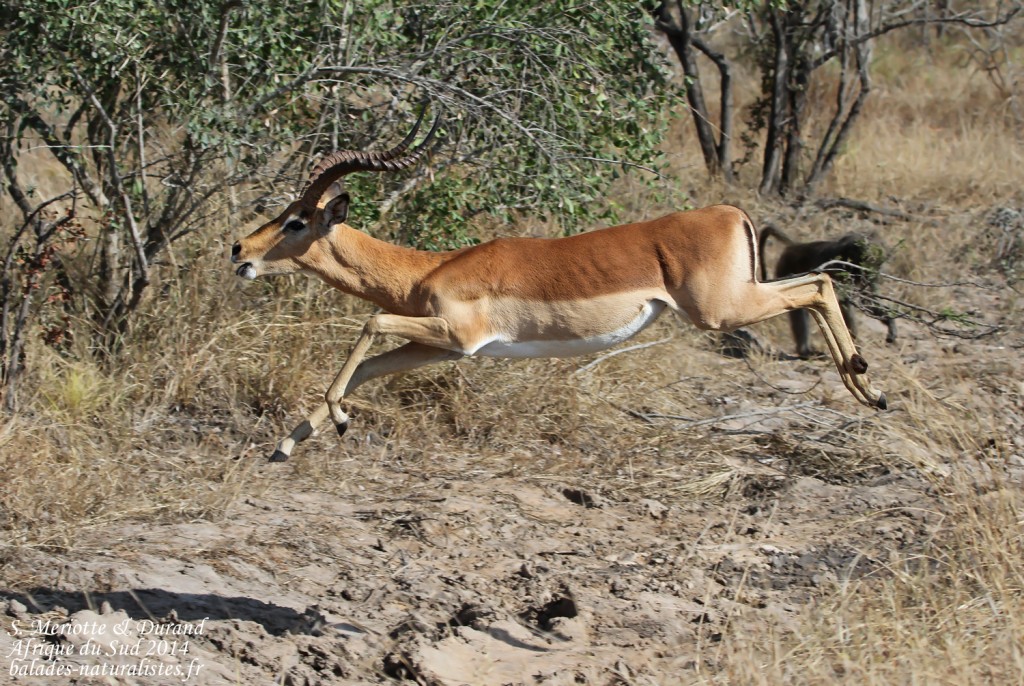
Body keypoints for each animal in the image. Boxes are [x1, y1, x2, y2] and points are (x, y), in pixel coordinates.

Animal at [231, 108, 886, 462]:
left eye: (296, 221)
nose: (239, 251)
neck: (427, 269)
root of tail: (730, 211)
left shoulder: (457, 335)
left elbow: (367, 324)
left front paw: (337, 425)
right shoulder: (433, 346)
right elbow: (364, 368)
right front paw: (285, 447)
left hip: (721, 311)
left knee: (819, 283)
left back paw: (869, 390)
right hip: (737, 299)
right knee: (819, 279)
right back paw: (866, 388)